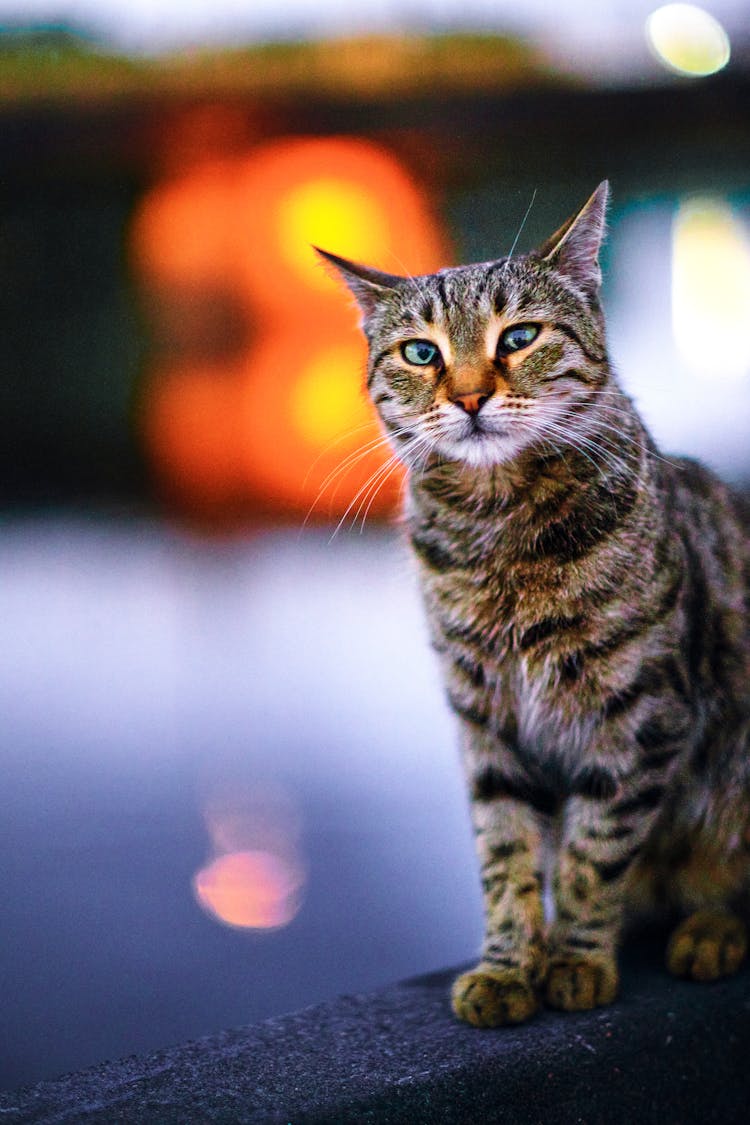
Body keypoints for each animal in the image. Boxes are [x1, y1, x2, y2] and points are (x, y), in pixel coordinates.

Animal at [317, 184, 750, 1030]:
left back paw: (714, 927)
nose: (469, 396)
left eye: (519, 336)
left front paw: (576, 957)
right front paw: (509, 963)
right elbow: (506, 850)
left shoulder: (640, 717)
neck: (499, 534)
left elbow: (592, 852)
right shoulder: (486, 721)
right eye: (420, 353)